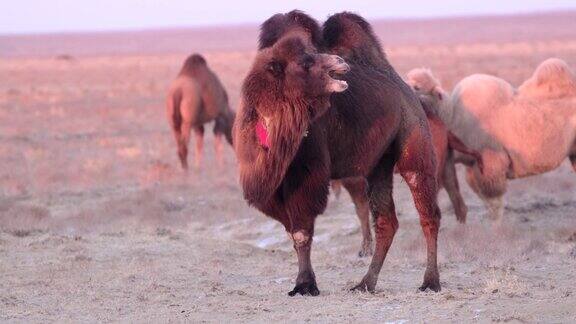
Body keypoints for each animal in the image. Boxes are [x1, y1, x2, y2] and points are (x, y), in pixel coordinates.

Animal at [233, 11, 440, 296]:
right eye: (306, 62)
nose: (340, 62)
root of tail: (403, 85)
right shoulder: (270, 188)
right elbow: (292, 232)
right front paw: (304, 283)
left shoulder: (308, 174)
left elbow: (302, 231)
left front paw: (305, 285)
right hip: (378, 164)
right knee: (386, 221)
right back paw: (365, 283)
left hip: (414, 135)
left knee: (427, 211)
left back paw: (430, 282)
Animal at [336, 92, 484, 258]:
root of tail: (442, 125)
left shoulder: (355, 179)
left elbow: (362, 210)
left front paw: (366, 249)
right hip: (446, 164)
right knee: (457, 200)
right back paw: (460, 232)